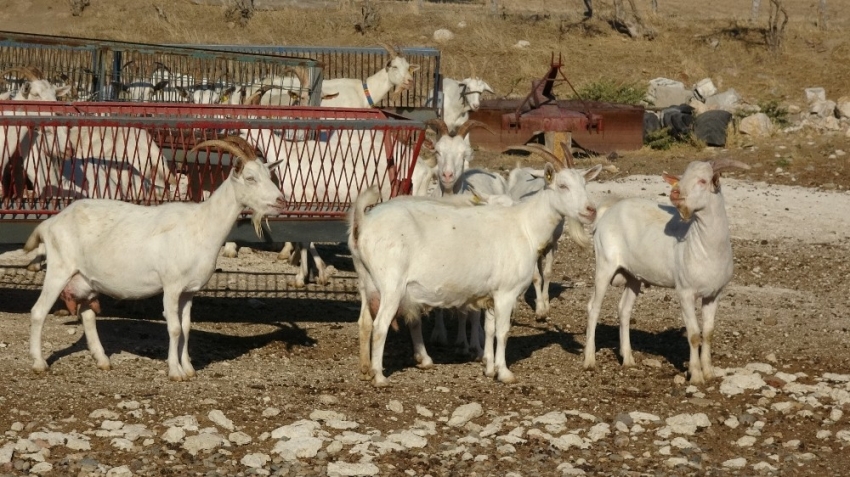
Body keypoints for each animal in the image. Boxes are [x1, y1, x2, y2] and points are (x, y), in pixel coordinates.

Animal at [24, 137, 284, 380]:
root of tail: (50, 222)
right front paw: (175, 371)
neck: (201, 225)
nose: (281, 200)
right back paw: (39, 363)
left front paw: (189, 369)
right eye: (250, 178)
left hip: (85, 280)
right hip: (59, 269)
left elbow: (186, 327)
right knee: (38, 311)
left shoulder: (188, 291)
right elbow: (175, 328)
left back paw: (103, 360)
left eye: (269, 175)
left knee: (87, 315)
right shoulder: (171, 286)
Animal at [584, 159, 748, 384]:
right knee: (594, 307)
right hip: (604, 264)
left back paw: (628, 359)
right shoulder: (685, 292)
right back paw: (589, 360)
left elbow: (708, 332)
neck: (704, 246)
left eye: (703, 180)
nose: (675, 192)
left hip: (633, 275)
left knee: (624, 310)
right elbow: (694, 335)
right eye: (682, 177)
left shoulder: (714, 294)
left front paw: (709, 372)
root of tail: (607, 212)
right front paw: (696, 376)